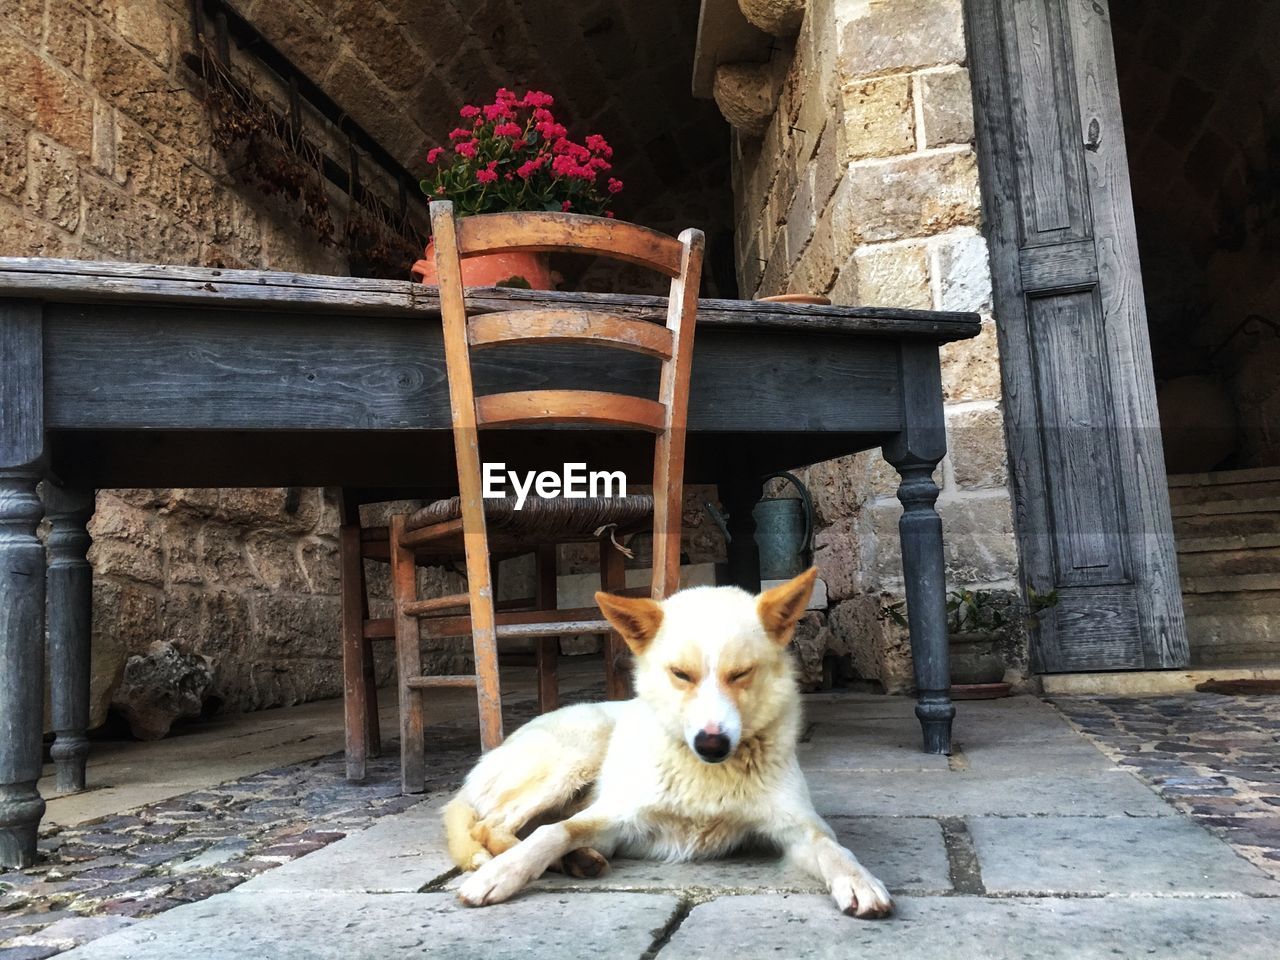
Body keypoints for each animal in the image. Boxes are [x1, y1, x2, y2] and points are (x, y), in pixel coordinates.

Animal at [445, 568, 896, 921]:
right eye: (681, 674)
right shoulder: (615, 815)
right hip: (577, 755)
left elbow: (833, 848)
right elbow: (554, 832)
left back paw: (577, 859)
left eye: (741, 674)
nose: (712, 744)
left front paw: (858, 880)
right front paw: (504, 873)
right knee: (493, 826)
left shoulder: (799, 828)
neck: (707, 777)